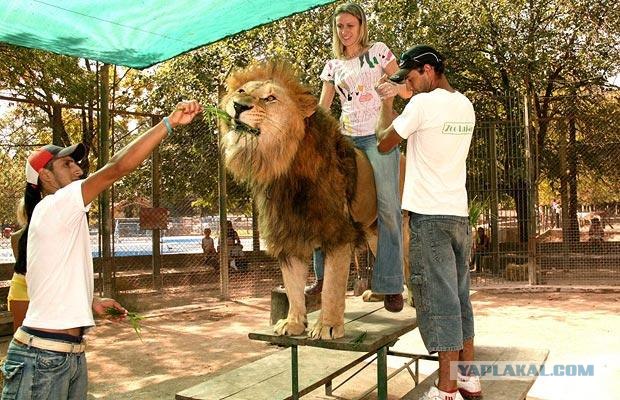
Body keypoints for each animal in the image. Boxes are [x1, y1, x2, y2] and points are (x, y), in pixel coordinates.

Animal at [219, 61, 406, 340]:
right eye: (241, 90)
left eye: (270, 98)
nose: (239, 105)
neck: (283, 166)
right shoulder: (288, 233)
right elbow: (293, 286)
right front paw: (293, 323)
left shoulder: (338, 233)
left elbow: (332, 286)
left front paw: (328, 326)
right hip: (373, 229)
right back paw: (379, 295)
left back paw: (404, 300)